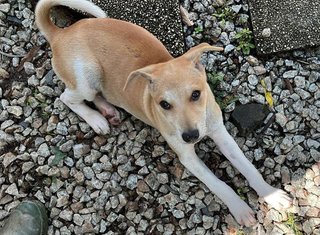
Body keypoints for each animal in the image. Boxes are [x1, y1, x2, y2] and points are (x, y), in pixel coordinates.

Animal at [35, 0, 292, 226]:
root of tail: (61, 34)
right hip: (87, 76)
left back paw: (108, 110)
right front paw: (240, 209)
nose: (190, 136)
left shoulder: (220, 132)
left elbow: (247, 166)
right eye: (164, 105)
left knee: (94, 95)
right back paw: (97, 120)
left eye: (196, 94)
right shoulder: (187, 156)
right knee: (67, 97)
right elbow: (218, 183)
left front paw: (271, 194)